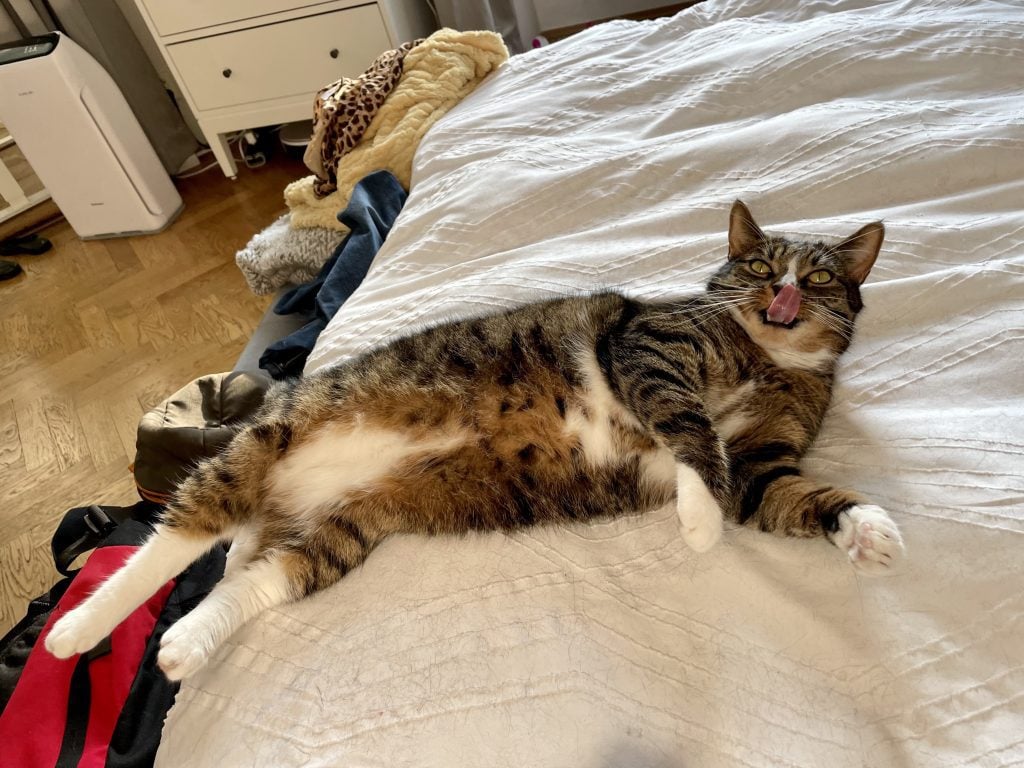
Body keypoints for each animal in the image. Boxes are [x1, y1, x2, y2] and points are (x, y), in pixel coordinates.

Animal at [44, 199, 905, 679]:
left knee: (254, 581)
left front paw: (865, 528)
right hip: (261, 448)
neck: (767, 360)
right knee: (171, 540)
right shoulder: (648, 349)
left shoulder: (765, 457)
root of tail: (275, 500)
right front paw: (698, 520)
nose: (782, 288)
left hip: (345, 531)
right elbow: (692, 429)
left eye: (819, 277)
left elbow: (786, 491)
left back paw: (186, 645)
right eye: (758, 264)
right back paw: (74, 630)